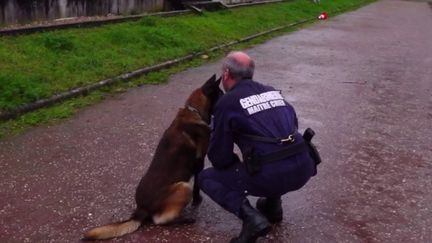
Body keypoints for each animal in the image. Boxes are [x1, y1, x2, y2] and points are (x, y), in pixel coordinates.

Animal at [82, 75, 223, 240]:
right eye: (221, 94)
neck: (194, 111)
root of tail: (140, 210)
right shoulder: (200, 162)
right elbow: (197, 185)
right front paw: (197, 201)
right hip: (183, 186)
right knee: (159, 220)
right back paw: (185, 219)